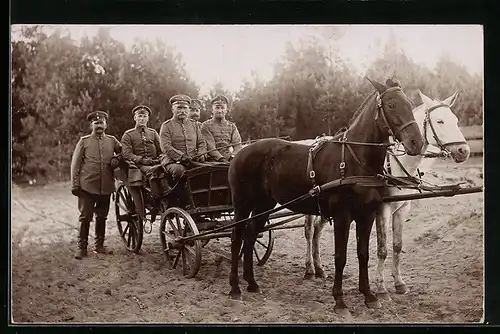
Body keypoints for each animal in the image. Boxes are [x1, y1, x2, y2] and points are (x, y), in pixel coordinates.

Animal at [228, 78, 426, 316]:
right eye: (391, 105)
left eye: (409, 103)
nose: (417, 143)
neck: (355, 160)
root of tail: (240, 152)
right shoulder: (342, 216)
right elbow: (340, 257)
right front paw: (339, 300)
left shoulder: (367, 214)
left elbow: (363, 254)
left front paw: (369, 296)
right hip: (242, 203)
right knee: (237, 238)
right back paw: (235, 288)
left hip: (263, 205)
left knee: (250, 236)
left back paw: (251, 283)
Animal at [302, 90, 470, 292]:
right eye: (440, 121)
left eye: (456, 120)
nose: (464, 151)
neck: (395, 166)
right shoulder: (382, 208)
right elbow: (382, 249)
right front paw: (381, 287)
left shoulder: (402, 209)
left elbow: (397, 245)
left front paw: (399, 282)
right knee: (309, 230)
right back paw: (310, 269)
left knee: (317, 228)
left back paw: (319, 268)